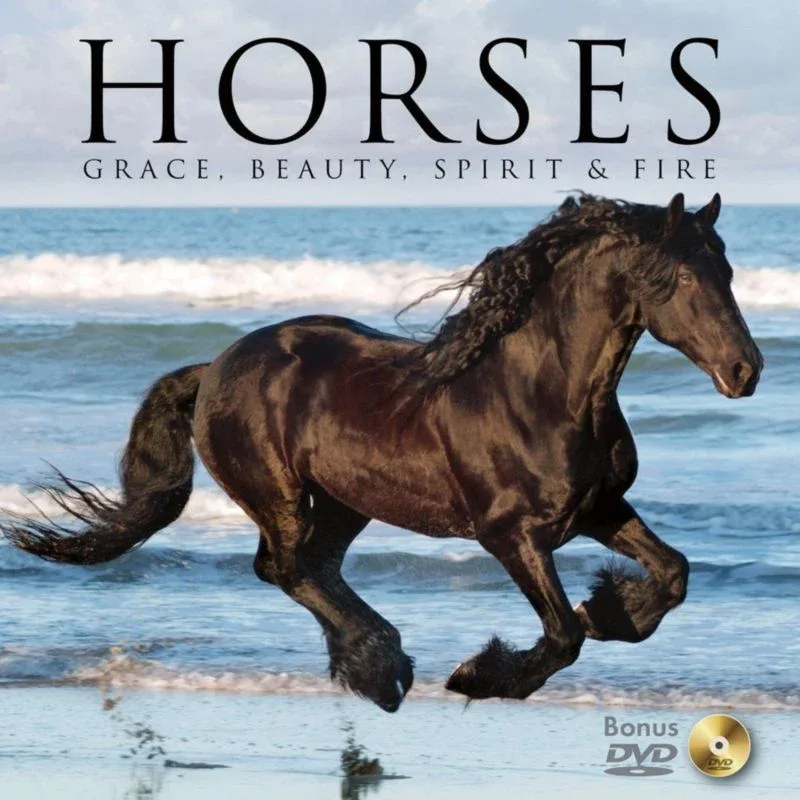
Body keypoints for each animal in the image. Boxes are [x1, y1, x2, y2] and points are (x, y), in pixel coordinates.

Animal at [1, 192, 763, 713]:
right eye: (684, 279)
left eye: (728, 271)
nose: (745, 370)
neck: (539, 394)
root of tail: (214, 366)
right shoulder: (511, 536)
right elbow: (560, 635)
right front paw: (482, 675)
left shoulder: (600, 508)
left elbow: (674, 573)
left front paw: (611, 609)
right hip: (281, 495)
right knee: (285, 567)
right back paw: (383, 667)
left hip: (345, 501)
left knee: (314, 567)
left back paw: (374, 666)